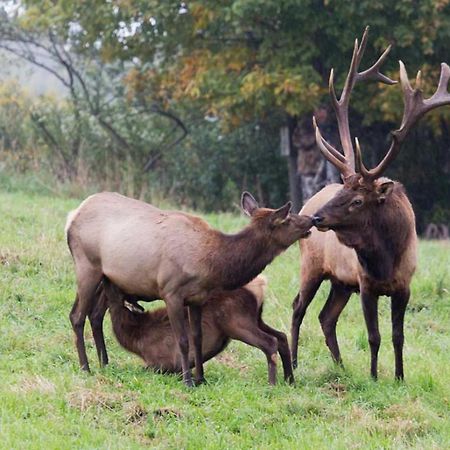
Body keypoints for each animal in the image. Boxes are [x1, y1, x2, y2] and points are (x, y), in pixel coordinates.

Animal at [100, 274, 294, 384]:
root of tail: (260, 285)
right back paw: (289, 380)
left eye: (112, 286)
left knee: (270, 342)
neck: (137, 341)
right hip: (256, 319)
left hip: (237, 322)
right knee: (282, 337)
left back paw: (272, 383)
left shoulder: (162, 363)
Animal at [290, 26, 448, 380]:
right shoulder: (365, 284)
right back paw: (292, 364)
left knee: (326, 317)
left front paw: (400, 377)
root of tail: (308, 200)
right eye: (344, 193)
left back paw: (340, 366)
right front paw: (375, 376)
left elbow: (398, 335)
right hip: (312, 266)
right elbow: (374, 335)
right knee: (297, 308)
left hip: (340, 282)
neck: (385, 259)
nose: (317, 218)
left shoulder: (404, 285)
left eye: (358, 200)